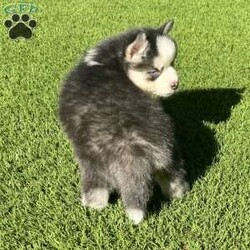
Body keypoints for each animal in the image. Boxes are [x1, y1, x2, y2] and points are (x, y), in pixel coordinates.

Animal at [59, 21, 189, 225]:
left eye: (172, 64)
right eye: (154, 71)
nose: (176, 84)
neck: (112, 60)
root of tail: (133, 146)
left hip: (90, 156)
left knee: (94, 181)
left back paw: (91, 204)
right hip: (168, 149)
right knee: (173, 175)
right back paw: (178, 193)